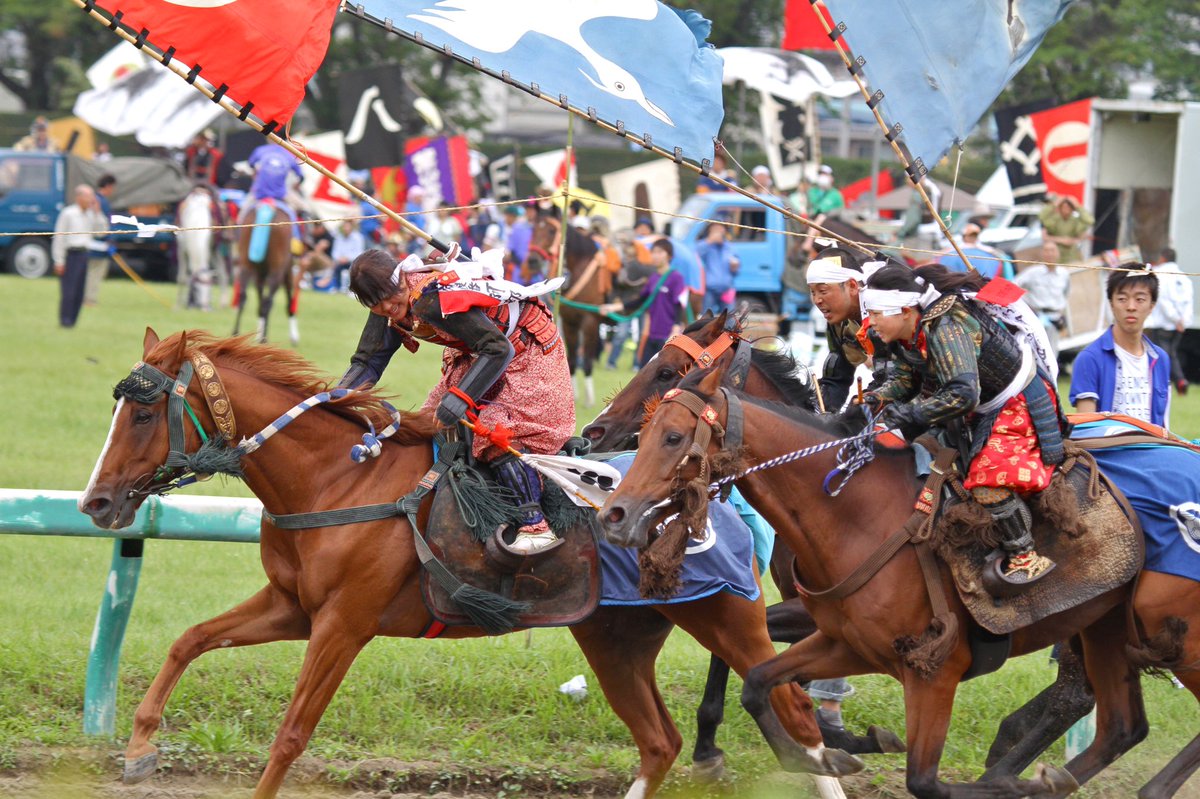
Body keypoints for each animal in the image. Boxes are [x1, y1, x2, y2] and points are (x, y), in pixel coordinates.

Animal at [77, 326, 864, 796]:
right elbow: (189, 640)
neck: (336, 480)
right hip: (615, 635)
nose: (95, 502)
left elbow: (291, 732)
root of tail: (709, 498)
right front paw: (140, 745)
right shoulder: (293, 606)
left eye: (141, 413)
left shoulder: (343, 622)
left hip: (726, 615)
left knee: (792, 712)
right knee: (659, 740)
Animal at [234, 202, 297, 343]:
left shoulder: (259, 276)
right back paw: (264, 338)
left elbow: (260, 306)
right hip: (277, 271)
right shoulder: (288, 270)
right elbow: (288, 302)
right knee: (269, 302)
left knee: (243, 296)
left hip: (245, 265)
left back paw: (235, 333)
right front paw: (294, 337)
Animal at [520, 208, 604, 405]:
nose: (533, 261)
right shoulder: (569, 322)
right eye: (533, 228)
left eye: (552, 230)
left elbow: (586, 361)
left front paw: (589, 400)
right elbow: (571, 360)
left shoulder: (591, 321)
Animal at [604, 355, 1200, 796]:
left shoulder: (933, 670)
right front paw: (826, 755)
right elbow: (758, 681)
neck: (858, 516)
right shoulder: (846, 642)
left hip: (1171, 631)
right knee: (1119, 725)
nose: (615, 513)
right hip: (1107, 626)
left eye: (673, 436)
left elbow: (925, 781)